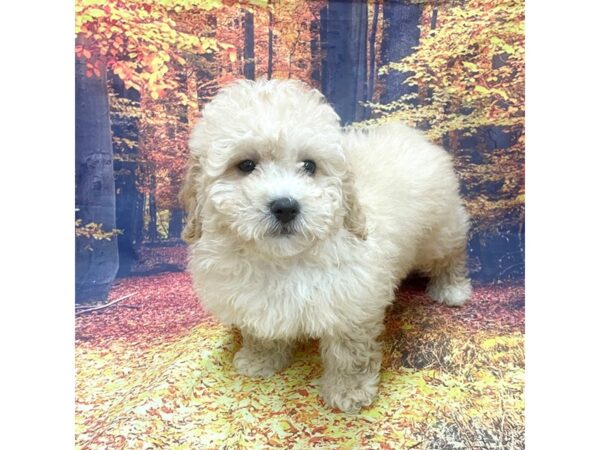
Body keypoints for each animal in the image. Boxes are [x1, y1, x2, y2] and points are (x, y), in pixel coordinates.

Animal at [180, 79, 472, 414]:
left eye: (309, 166)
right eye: (246, 165)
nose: (285, 206)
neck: (284, 260)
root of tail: (412, 135)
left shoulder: (352, 302)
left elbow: (349, 352)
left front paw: (349, 390)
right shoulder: (253, 300)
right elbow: (261, 331)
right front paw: (260, 358)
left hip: (441, 231)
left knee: (451, 255)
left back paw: (452, 288)